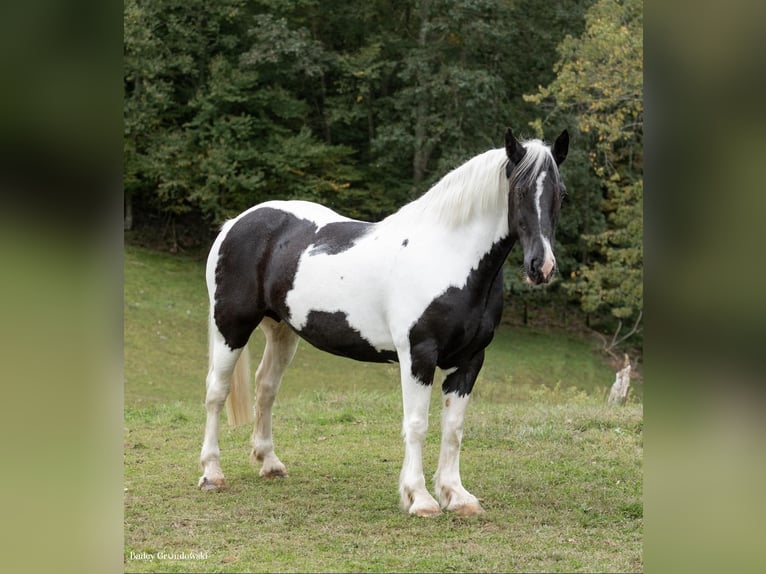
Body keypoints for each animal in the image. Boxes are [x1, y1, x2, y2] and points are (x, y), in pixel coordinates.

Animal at [198, 128, 568, 520]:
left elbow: (453, 429)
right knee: (216, 392)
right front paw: (419, 498)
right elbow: (417, 425)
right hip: (231, 327)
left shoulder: (469, 360)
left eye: (561, 194)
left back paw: (270, 463)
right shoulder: (418, 356)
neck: (447, 256)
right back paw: (212, 473)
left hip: (281, 330)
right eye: (520, 190)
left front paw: (456, 496)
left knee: (266, 387)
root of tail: (235, 224)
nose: (541, 266)